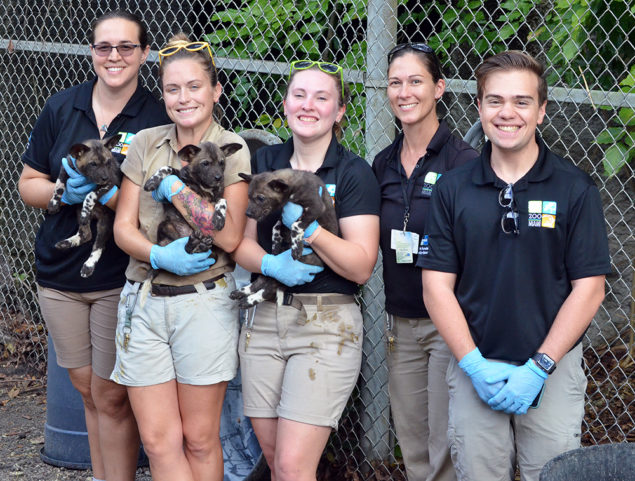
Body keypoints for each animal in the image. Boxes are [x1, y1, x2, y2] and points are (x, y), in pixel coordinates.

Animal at [47, 135, 121, 278]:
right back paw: (66, 243)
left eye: (108, 162)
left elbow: (90, 194)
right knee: (86, 235)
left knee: (98, 246)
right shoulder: (65, 168)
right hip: (77, 210)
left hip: (105, 224)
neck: (85, 176)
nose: (105, 177)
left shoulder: (110, 184)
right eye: (93, 164)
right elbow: (59, 185)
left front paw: (86, 210)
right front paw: (54, 203)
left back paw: (88, 266)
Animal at [231, 169, 340, 308]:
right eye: (249, 197)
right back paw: (242, 292)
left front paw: (296, 247)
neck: (293, 188)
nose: (247, 214)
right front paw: (276, 242)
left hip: (301, 263)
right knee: (263, 278)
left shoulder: (315, 206)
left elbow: (295, 225)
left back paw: (249, 300)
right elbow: (276, 226)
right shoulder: (284, 217)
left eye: (261, 198)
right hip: (276, 269)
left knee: (268, 290)